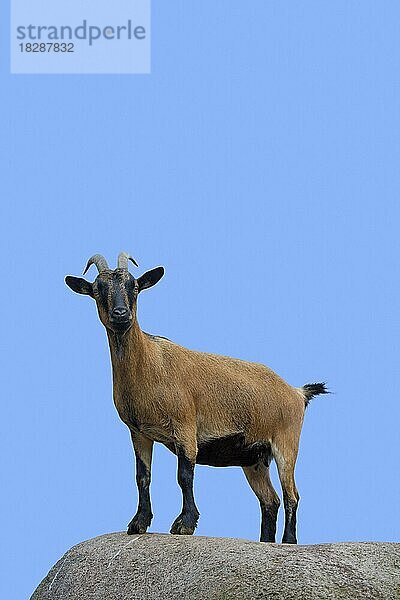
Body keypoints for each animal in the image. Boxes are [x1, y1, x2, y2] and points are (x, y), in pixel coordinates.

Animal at [66, 253, 328, 544]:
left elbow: (185, 475)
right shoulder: (139, 432)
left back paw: (288, 541)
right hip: (254, 458)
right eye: (97, 289)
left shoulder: (185, 426)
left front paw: (184, 524)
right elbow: (142, 476)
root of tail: (297, 392)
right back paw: (265, 541)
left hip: (286, 442)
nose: (121, 314)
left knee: (291, 494)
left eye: (134, 286)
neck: (150, 366)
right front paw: (138, 523)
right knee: (270, 501)